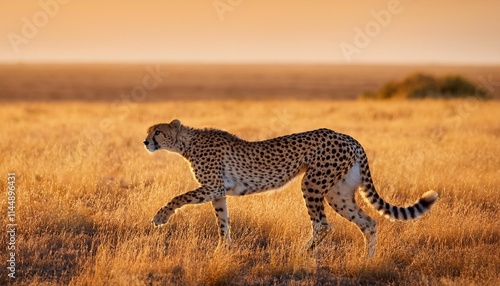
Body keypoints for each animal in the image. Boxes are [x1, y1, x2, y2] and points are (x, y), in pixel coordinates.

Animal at [144, 118, 438, 256]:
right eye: (149, 132)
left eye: (158, 131)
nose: (145, 142)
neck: (186, 143)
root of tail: (346, 136)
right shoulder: (218, 193)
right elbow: (223, 222)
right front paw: (222, 249)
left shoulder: (212, 186)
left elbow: (178, 197)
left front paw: (160, 217)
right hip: (338, 192)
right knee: (368, 222)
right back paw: (368, 261)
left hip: (313, 183)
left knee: (323, 224)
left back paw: (302, 253)